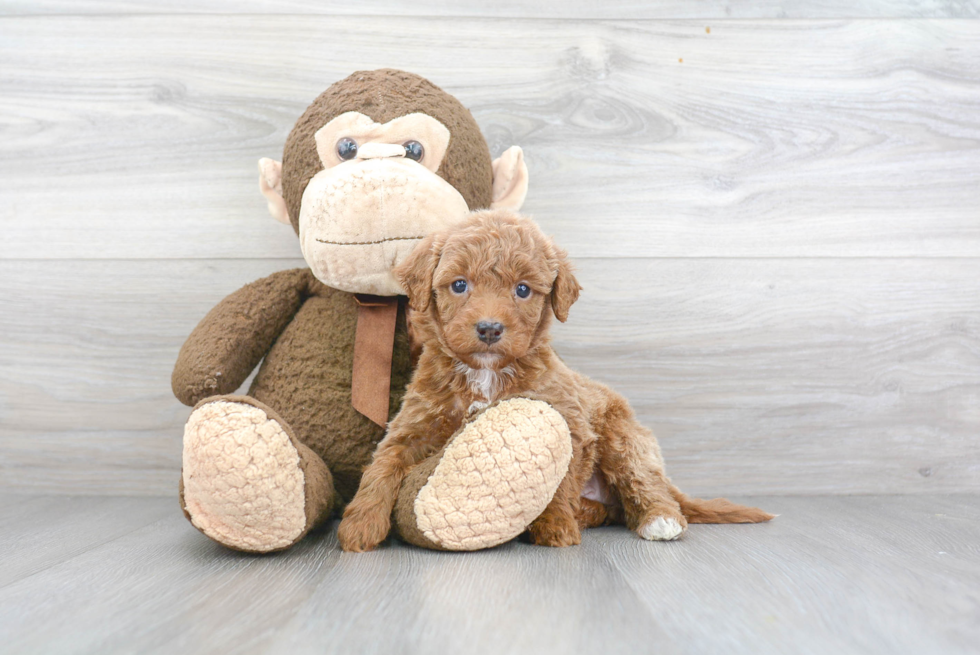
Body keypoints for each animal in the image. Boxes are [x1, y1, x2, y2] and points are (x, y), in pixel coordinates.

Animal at [336, 210, 772, 552]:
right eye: (459, 284)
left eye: (523, 290)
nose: (490, 328)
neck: (486, 372)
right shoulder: (413, 423)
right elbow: (382, 466)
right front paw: (359, 526)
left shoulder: (569, 422)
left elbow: (558, 483)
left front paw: (556, 525)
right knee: (615, 509)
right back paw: (589, 513)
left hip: (623, 437)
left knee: (646, 485)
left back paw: (658, 519)